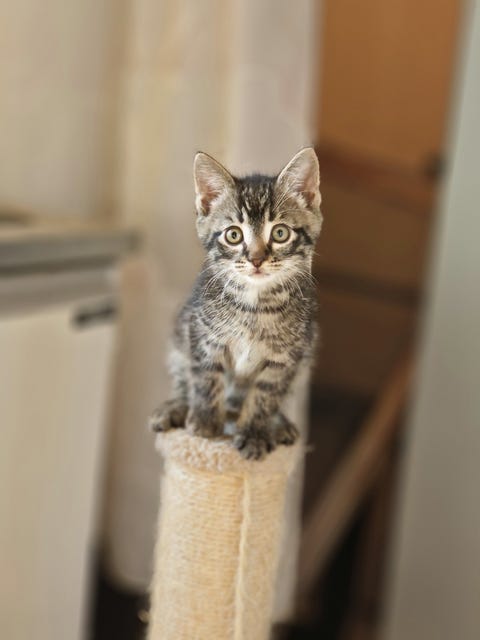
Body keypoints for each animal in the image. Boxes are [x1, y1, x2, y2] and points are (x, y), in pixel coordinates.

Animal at [149, 147, 323, 460]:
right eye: (233, 234)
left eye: (280, 233)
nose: (256, 259)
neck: (254, 304)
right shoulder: (203, 335)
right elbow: (206, 379)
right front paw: (204, 425)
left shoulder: (288, 357)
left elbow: (266, 396)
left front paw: (254, 433)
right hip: (179, 333)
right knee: (183, 379)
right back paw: (176, 408)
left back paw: (278, 425)